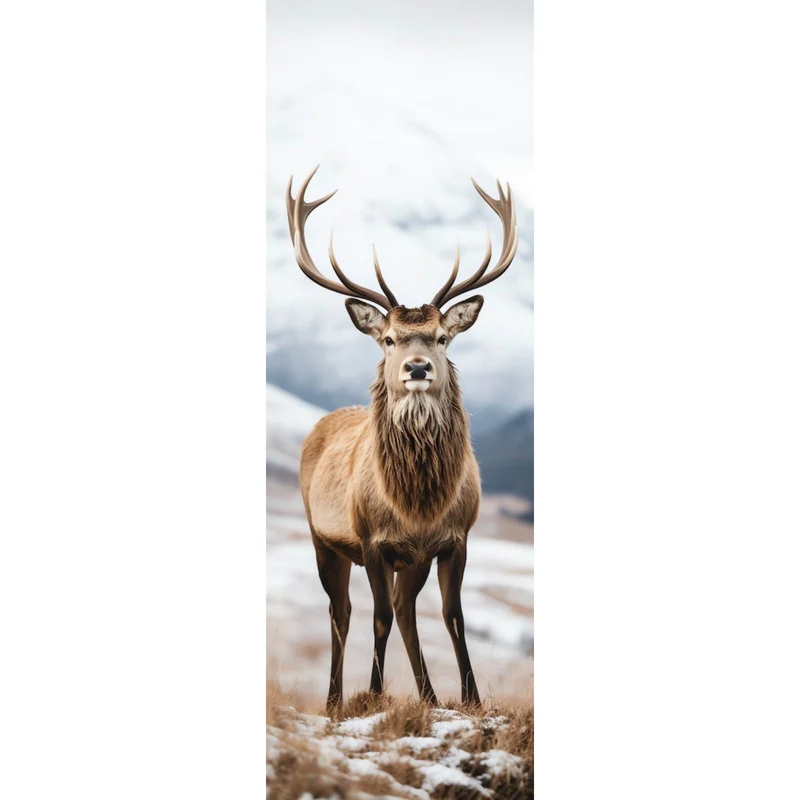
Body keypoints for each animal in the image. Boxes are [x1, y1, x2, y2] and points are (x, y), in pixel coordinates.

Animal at [285, 166, 518, 711]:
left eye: (441, 337)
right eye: (389, 339)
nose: (416, 367)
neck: (416, 503)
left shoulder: (455, 538)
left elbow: (452, 617)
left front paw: (472, 700)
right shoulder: (371, 539)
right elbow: (378, 617)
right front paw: (371, 695)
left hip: (411, 561)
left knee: (407, 610)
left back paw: (429, 696)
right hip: (323, 538)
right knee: (344, 611)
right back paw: (333, 700)